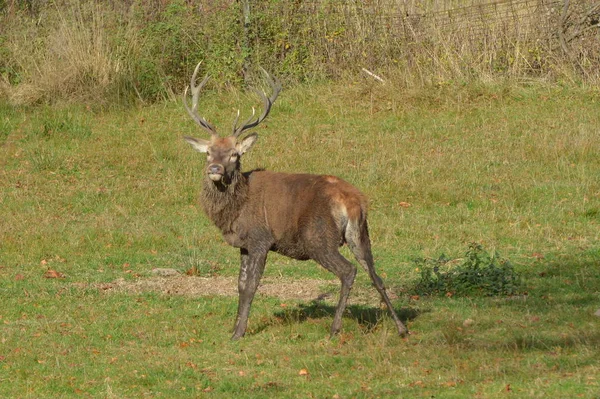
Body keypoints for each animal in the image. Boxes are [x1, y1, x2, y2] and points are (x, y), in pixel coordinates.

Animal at [182, 62, 408, 340]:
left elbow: (251, 286)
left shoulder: (260, 238)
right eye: (209, 152)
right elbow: (240, 285)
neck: (235, 210)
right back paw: (401, 327)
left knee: (348, 271)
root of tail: (352, 201)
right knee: (375, 274)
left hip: (318, 238)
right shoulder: (244, 245)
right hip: (361, 234)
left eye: (234, 154)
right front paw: (235, 328)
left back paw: (334, 329)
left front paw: (239, 333)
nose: (215, 168)